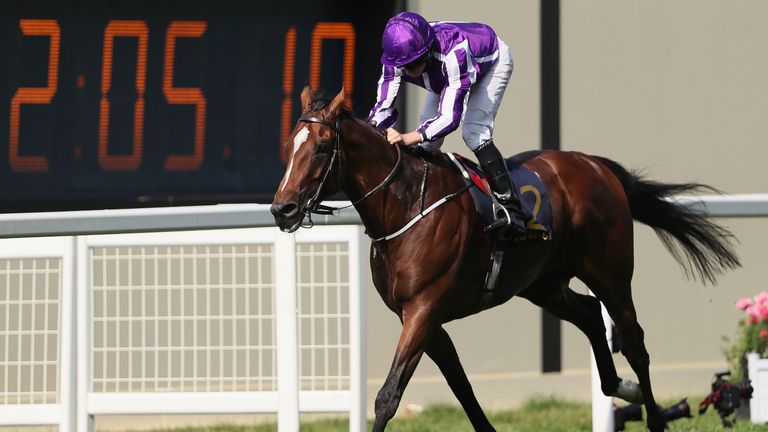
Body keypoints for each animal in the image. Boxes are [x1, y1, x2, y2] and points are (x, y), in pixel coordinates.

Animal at [270, 85, 736, 432]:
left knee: (635, 343)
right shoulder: (423, 317)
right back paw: (622, 389)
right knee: (589, 315)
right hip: (542, 284)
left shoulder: (423, 309)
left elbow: (388, 396)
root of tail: (595, 165)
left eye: (322, 147)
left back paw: (654, 415)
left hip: (610, 273)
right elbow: (462, 389)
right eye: (289, 145)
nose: (282, 209)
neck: (405, 205)